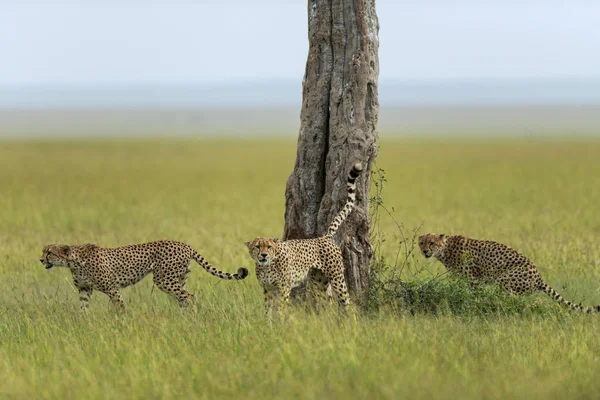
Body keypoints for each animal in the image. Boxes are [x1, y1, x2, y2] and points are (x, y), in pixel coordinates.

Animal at [39, 239, 247, 310]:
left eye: (49, 252)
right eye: (43, 251)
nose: (40, 260)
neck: (73, 261)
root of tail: (184, 244)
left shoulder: (112, 289)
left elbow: (120, 307)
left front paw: (121, 324)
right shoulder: (84, 290)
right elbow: (83, 309)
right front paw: (83, 324)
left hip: (164, 280)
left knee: (189, 296)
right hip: (178, 280)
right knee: (184, 298)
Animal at [245, 161, 366, 314]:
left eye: (269, 247)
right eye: (257, 247)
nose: (264, 255)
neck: (267, 265)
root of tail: (324, 237)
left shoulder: (284, 287)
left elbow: (281, 307)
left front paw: (282, 318)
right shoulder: (267, 289)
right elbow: (268, 309)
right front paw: (268, 319)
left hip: (336, 276)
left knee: (346, 300)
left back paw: (349, 317)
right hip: (320, 281)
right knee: (328, 302)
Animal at [418, 233, 600, 314]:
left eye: (431, 243)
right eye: (421, 243)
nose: (425, 251)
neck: (445, 250)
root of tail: (539, 277)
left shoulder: (474, 280)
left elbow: (472, 295)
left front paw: (472, 305)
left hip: (505, 282)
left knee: (512, 300)